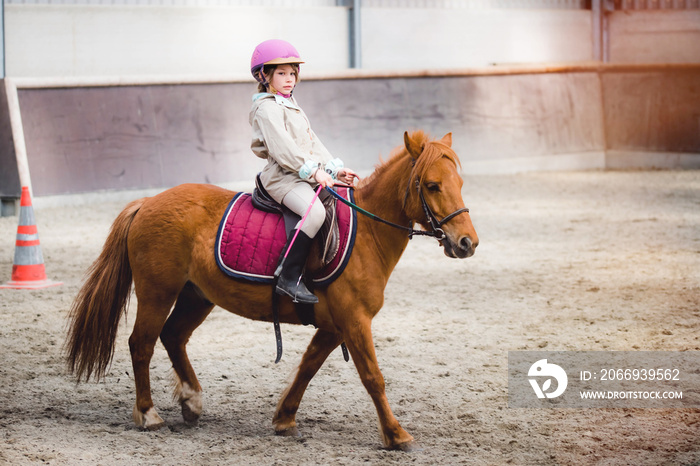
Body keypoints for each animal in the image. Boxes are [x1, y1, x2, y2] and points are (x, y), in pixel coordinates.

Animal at [65, 129, 478, 450]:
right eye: (432, 186)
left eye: (460, 184)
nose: (467, 244)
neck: (368, 233)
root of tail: (148, 201)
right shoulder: (355, 321)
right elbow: (373, 377)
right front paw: (396, 435)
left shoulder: (334, 326)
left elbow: (307, 367)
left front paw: (284, 419)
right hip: (157, 292)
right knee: (142, 343)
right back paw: (149, 414)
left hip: (197, 296)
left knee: (173, 336)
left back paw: (192, 402)